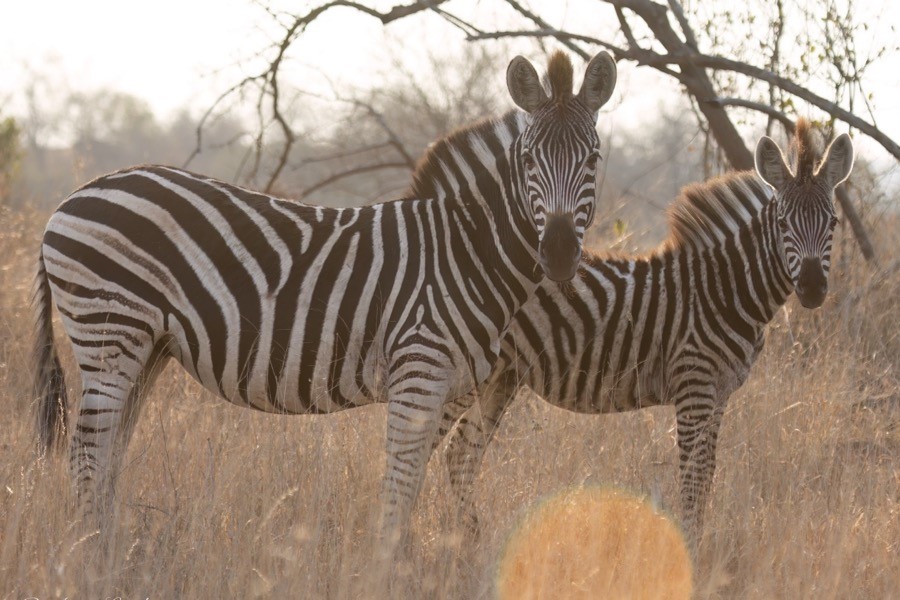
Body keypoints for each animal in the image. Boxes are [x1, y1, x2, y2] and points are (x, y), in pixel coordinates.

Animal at [31, 50, 616, 548]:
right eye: (529, 160)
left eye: (593, 159)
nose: (558, 253)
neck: (467, 250)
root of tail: (72, 197)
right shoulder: (419, 373)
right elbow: (400, 486)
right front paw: (386, 569)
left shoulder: (452, 389)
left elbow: (419, 481)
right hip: (110, 329)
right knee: (86, 454)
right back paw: (92, 555)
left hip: (147, 346)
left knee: (108, 455)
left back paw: (108, 549)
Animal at [432, 120, 856, 544]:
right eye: (783, 223)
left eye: (833, 223)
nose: (813, 288)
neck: (725, 288)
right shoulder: (694, 386)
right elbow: (692, 477)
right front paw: (691, 549)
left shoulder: (719, 393)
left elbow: (707, 473)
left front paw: (699, 544)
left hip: (501, 377)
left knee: (460, 452)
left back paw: (471, 542)